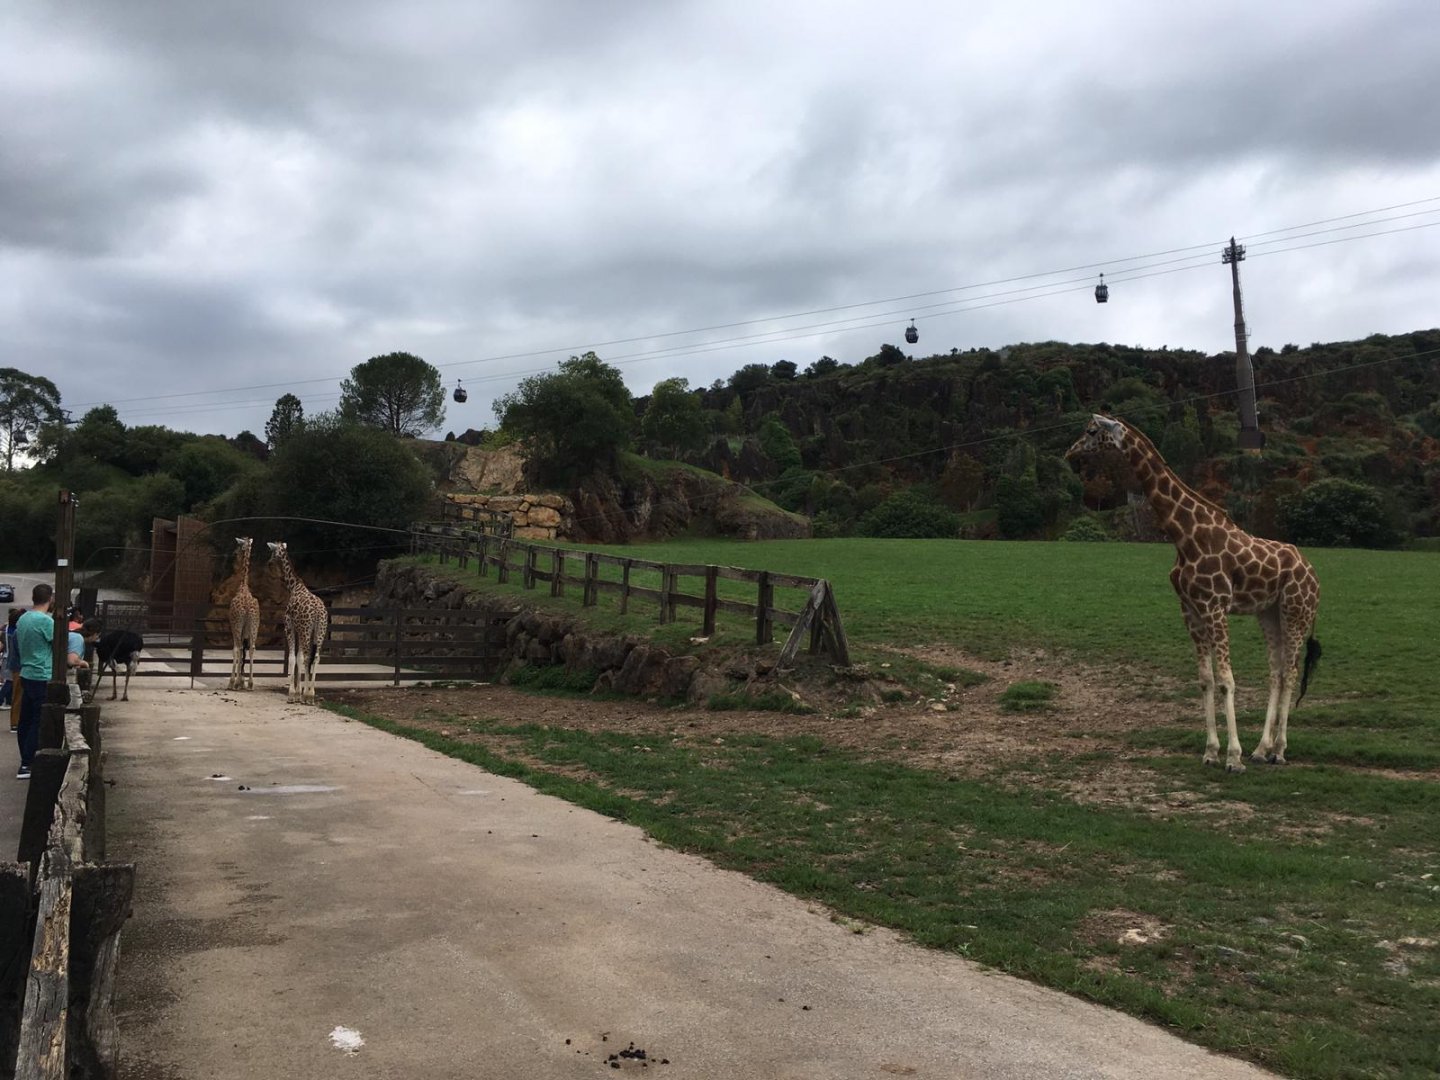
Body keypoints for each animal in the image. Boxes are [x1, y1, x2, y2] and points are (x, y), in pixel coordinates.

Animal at [266, 541, 329, 705]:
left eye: (272, 551)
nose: (269, 562)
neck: (294, 586)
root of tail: (318, 611)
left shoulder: (290, 626)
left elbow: (293, 657)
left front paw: (293, 694)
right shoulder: (300, 630)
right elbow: (299, 657)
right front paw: (299, 693)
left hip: (307, 629)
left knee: (308, 657)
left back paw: (308, 696)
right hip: (320, 630)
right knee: (316, 657)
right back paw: (311, 694)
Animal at [1066, 415, 1321, 772]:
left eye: (1091, 431)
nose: (1070, 454)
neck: (1184, 534)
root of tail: (1314, 574)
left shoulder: (1215, 606)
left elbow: (1227, 679)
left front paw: (1233, 758)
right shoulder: (1190, 609)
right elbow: (1206, 679)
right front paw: (1211, 752)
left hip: (1297, 610)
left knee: (1293, 671)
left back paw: (1279, 751)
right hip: (1268, 612)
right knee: (1277, 671)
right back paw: (1262, 748)